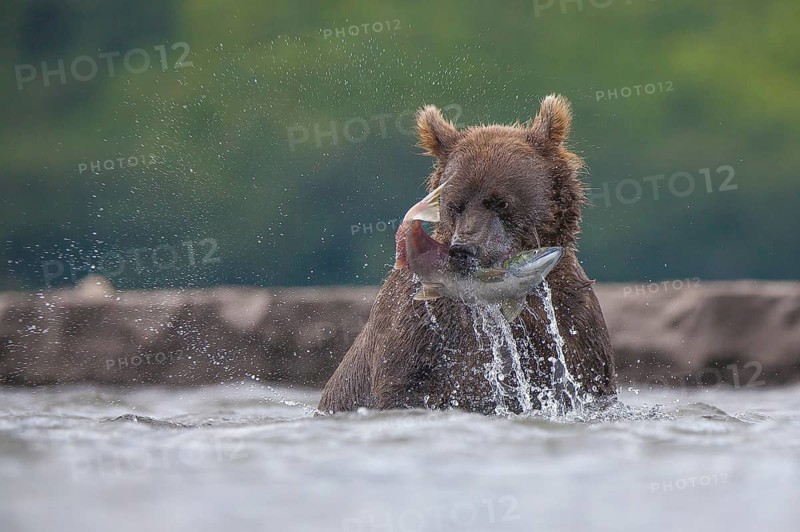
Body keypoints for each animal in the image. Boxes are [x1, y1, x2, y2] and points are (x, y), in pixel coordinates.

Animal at [318, 94, 616, 414]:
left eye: (499, 202)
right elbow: (407, 384)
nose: (463, 249)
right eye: (455, 205)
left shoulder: (572, 323)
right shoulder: (421, 330)